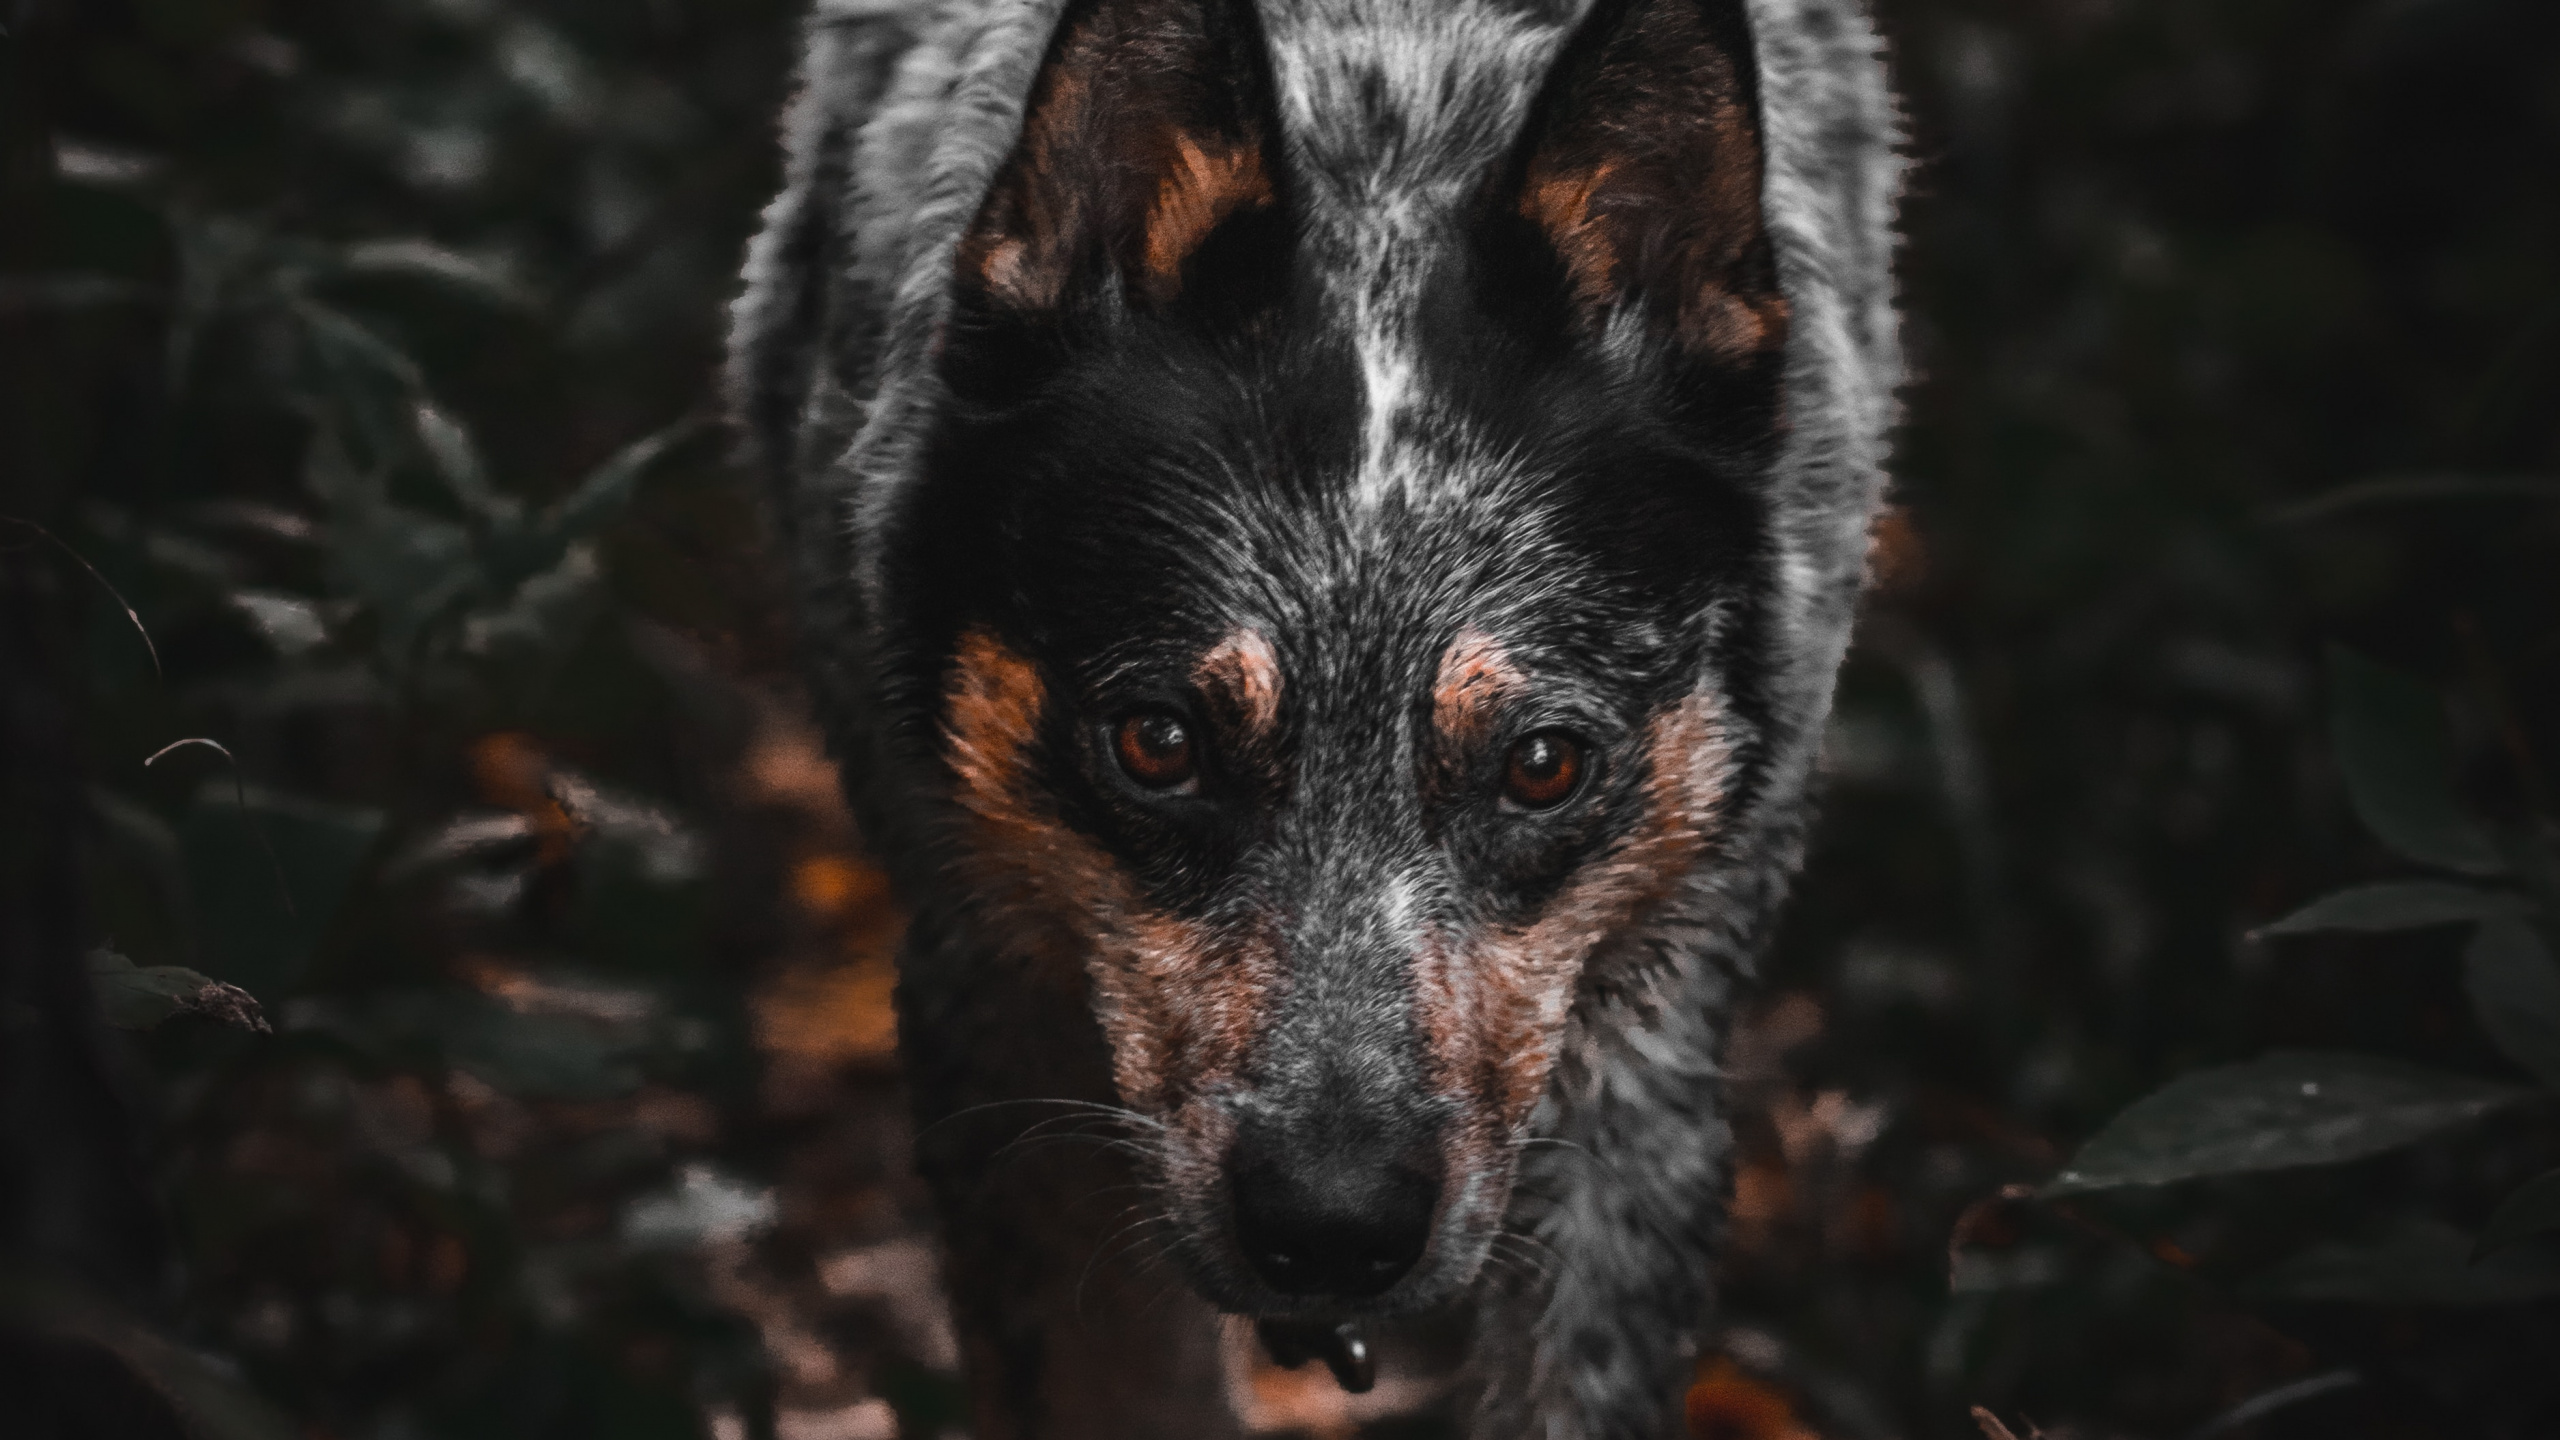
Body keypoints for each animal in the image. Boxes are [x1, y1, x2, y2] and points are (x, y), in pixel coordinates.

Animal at [732, 2, 1894, 1424]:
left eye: (1544, 765)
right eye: (1158, 742)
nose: (1332, 1228)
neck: (1388, 117)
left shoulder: (1647, 1051)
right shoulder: (1000, 1007)